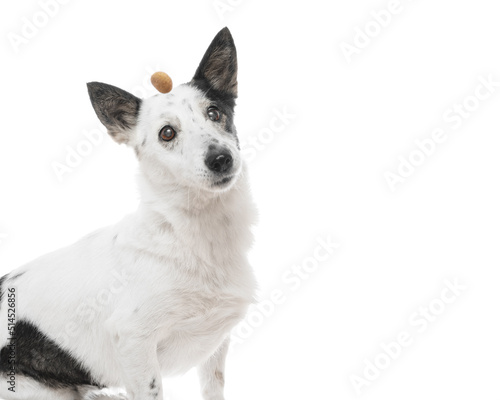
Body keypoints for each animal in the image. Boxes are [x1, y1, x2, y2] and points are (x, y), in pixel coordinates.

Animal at [0, 28, 258, 400]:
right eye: (167, 133)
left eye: (214, 113)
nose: (221, 159)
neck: (193, 232)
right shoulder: (134, 342)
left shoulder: (215, 344)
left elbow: (214, 388)